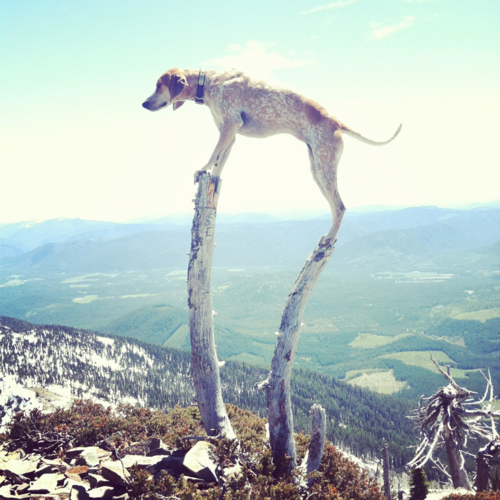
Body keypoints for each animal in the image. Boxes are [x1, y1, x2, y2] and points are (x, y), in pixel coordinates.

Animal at [143, 68, 400, 244]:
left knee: (341, 207)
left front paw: (202, 168)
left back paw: (329, 238)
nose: (144, 103)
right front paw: (212, 176)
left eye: (158, 84)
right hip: (317, 169)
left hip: (325, 169)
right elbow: (219, 163)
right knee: (336, 205)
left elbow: (212, 155)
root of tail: (336, 122)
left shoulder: (231, 124)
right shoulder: (230, 134)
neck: (211, 83)